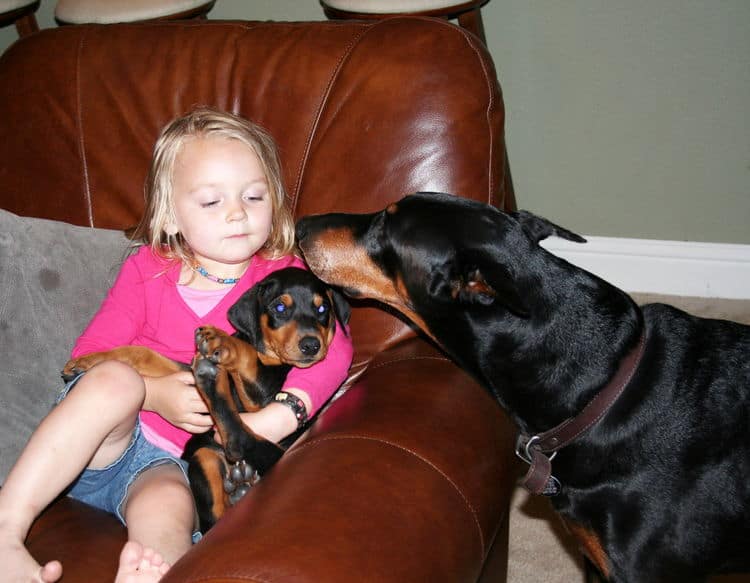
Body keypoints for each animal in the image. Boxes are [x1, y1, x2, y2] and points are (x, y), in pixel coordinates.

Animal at [63, 270, 352, 532]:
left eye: (322, 308)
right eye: (280, 307)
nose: (311, 345)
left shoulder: (264, 394)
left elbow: (246, 355)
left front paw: (222, 341)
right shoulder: (186, 374)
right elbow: (147, 355)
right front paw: (86, 362)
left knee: (230, 470)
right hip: (204, 457)